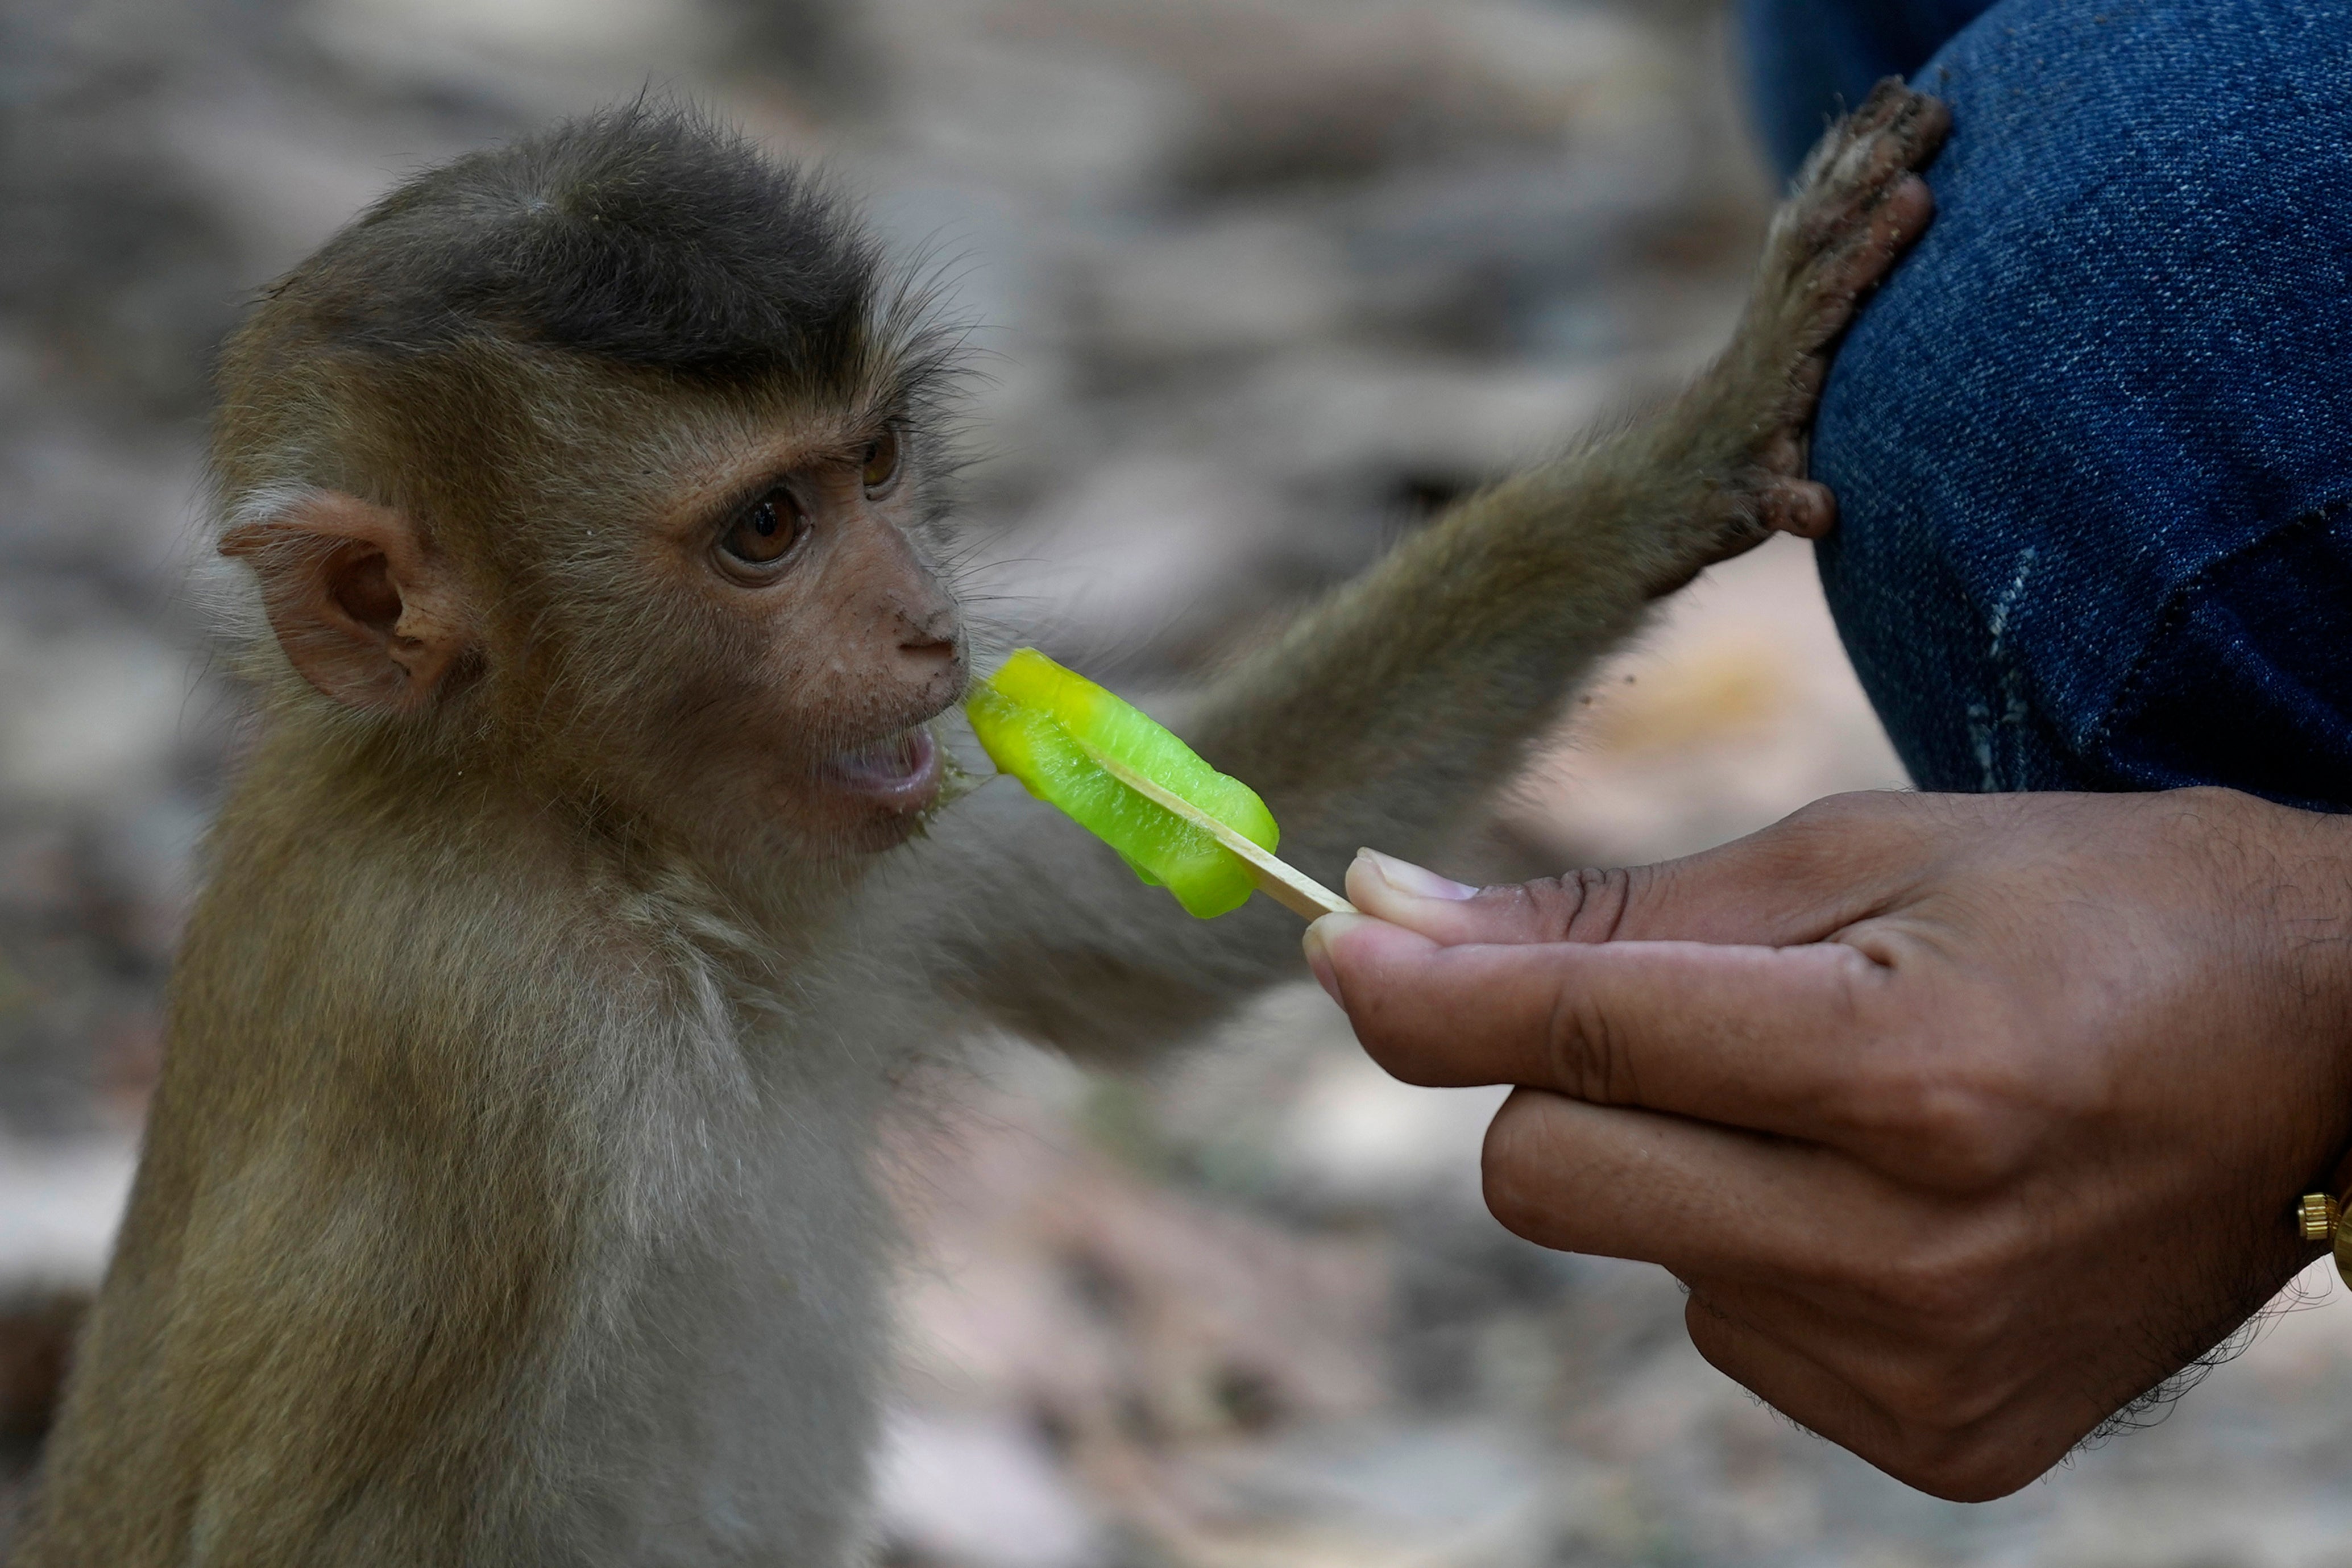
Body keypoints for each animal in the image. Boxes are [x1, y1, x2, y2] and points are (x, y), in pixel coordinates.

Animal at [14, 85, 1947, 1568]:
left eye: (875, 466)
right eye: (765, 531)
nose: (930, 629)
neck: (581, 822)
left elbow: (1137, 944)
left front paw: (1699, 438)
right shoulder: (501, 1045)